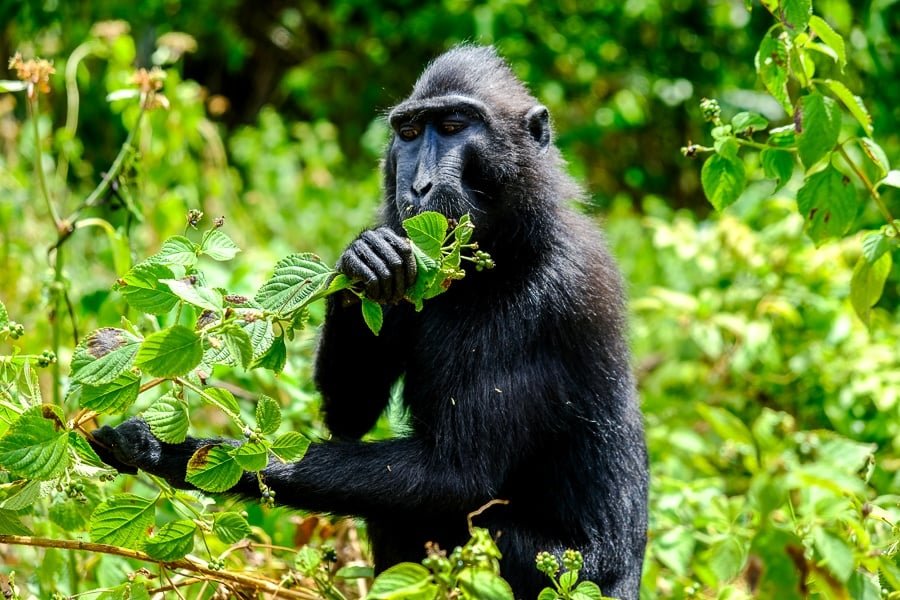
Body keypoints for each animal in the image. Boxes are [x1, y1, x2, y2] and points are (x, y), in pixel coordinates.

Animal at [91, 44, 648, 596]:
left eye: (453, 127)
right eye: (409, 133)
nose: (418, 187)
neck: (511, 245)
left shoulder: (550, 296)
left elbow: (454, 476)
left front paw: (170, 453)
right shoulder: (413, 268)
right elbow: (349, 416)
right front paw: (362, 260)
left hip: (567, 573)